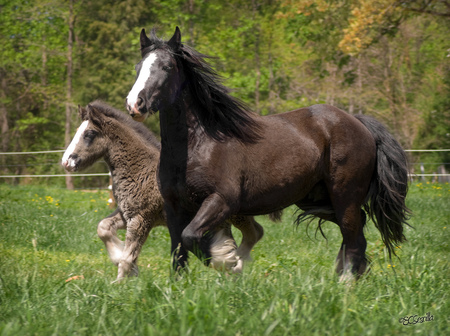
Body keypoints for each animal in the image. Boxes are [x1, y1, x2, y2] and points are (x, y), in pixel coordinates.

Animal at [125, 26, 410, 280]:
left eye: (167, 67)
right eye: (138, 68)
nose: (134, 104)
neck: (197, 145)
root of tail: (358, 123)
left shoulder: (222, 201)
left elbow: (191, 237)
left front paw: (228, 260)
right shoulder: (174, 207)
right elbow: (179, 252)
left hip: (344, 196)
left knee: (354, 237)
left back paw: (346, 283)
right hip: (317, 199)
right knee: (357, 229)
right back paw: (352, 275)